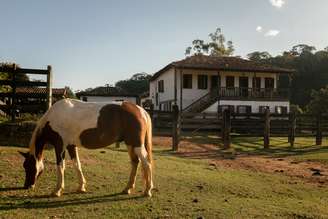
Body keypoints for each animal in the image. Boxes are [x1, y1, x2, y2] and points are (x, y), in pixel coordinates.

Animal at [19, 98, 154, 198]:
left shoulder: (60, 146)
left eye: (28, 166)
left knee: (146, 163)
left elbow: (60, 166)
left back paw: (147, 191)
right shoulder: (71, 146)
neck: (53, 118)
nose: (27, 186)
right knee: (135, 162)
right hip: (130, 144)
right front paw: (81, 187)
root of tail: (140, 110)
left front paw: (57, 190)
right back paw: (127, 188)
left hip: (136, 144)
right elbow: (77, 164)